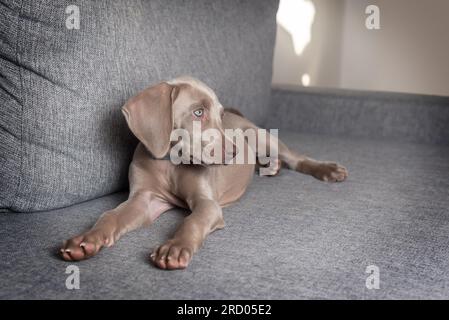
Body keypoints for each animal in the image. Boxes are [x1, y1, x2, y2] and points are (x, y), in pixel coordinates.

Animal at [60, 76, 346, 268]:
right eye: (198, 112)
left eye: (219, 115)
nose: (234, 152)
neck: (171, 163)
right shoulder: (144, 200)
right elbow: (110, 215)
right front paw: (87, 240)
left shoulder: (208, 204)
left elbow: (192, 220)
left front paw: (175, 247)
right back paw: (270, 167)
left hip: (264, 137)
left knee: (296, 158)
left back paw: (327, 169)